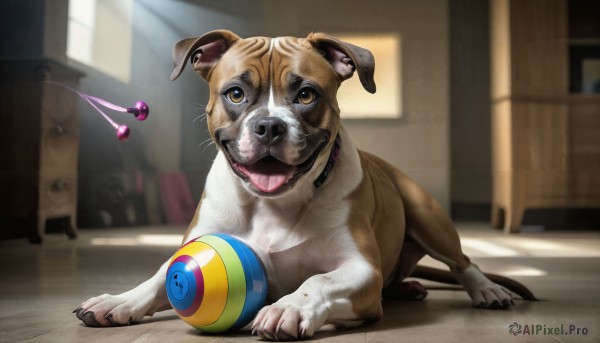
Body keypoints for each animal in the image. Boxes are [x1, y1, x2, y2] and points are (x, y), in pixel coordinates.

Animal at [75, 30, 536, 342]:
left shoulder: (361, 272)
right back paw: (409, 287)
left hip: (429, 216)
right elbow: (157, 278)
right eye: (236, 94)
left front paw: (289, 307)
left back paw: (487, 289)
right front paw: (119, 301)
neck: (273, 204)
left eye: (306, 95)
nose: (269, 126)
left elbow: (318, 281)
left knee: (463, 262)